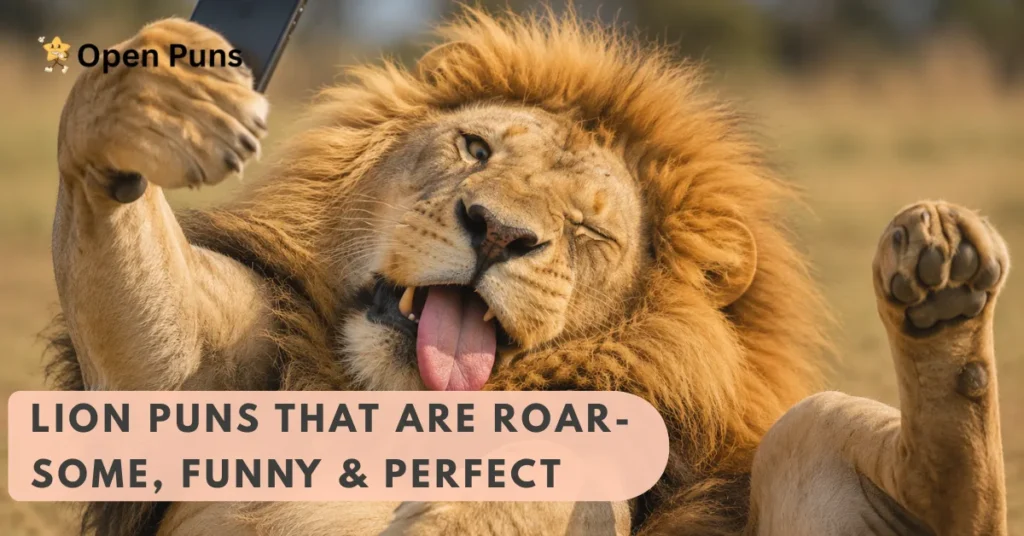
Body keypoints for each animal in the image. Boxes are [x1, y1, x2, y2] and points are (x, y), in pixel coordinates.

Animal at [44, 8, 1009, 536]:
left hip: (818, 424)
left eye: (587, 228)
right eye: (476, 148)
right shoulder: (191, 370)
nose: (499, 233)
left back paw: (943, 277)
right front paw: (159, 94)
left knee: (951, 491)